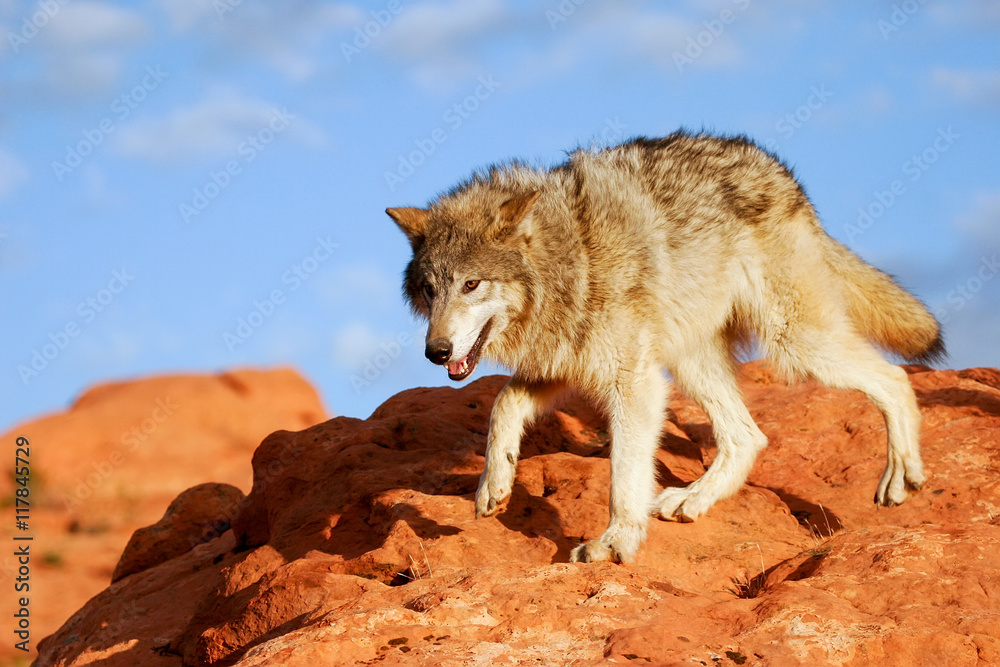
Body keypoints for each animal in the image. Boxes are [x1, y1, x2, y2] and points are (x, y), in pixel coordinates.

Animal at [386, 130, 943, 563]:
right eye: (430, 290)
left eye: (471, 285)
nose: (436, 352)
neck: (571, 259)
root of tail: (783, 175)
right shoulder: (565, 364)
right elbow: (502, 405)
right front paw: (493, 486)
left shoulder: (632, 382)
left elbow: (623, 475)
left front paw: (615, 542)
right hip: (692, 363)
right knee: (748, 436)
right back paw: (691, 501)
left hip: (794, 343)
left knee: (895, 378)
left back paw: (902, 474)